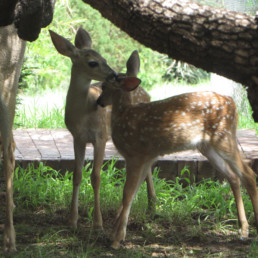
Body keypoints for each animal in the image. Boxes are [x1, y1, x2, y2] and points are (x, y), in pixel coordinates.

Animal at [49, 29, 156, 231]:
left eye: (104, 58)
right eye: (93, 62)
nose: (113, 74)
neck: (83, 112)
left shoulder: (101, 136)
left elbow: (96, 177)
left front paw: (98, 223)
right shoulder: (78, 137)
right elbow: (77, 175)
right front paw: (72, 220)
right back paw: (150, 205)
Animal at [96, 51, 258, 249]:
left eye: (104, 86)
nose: (99, 101)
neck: (124, 115)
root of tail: (232, 103)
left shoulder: (135, 155)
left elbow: (127, 194)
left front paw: (116, 240)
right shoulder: (147, 158)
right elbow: (133, 194)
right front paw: (115, 234)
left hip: (223, 137)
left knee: (248, 175)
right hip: (208, 147)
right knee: (233, 176)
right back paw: (243, 230)